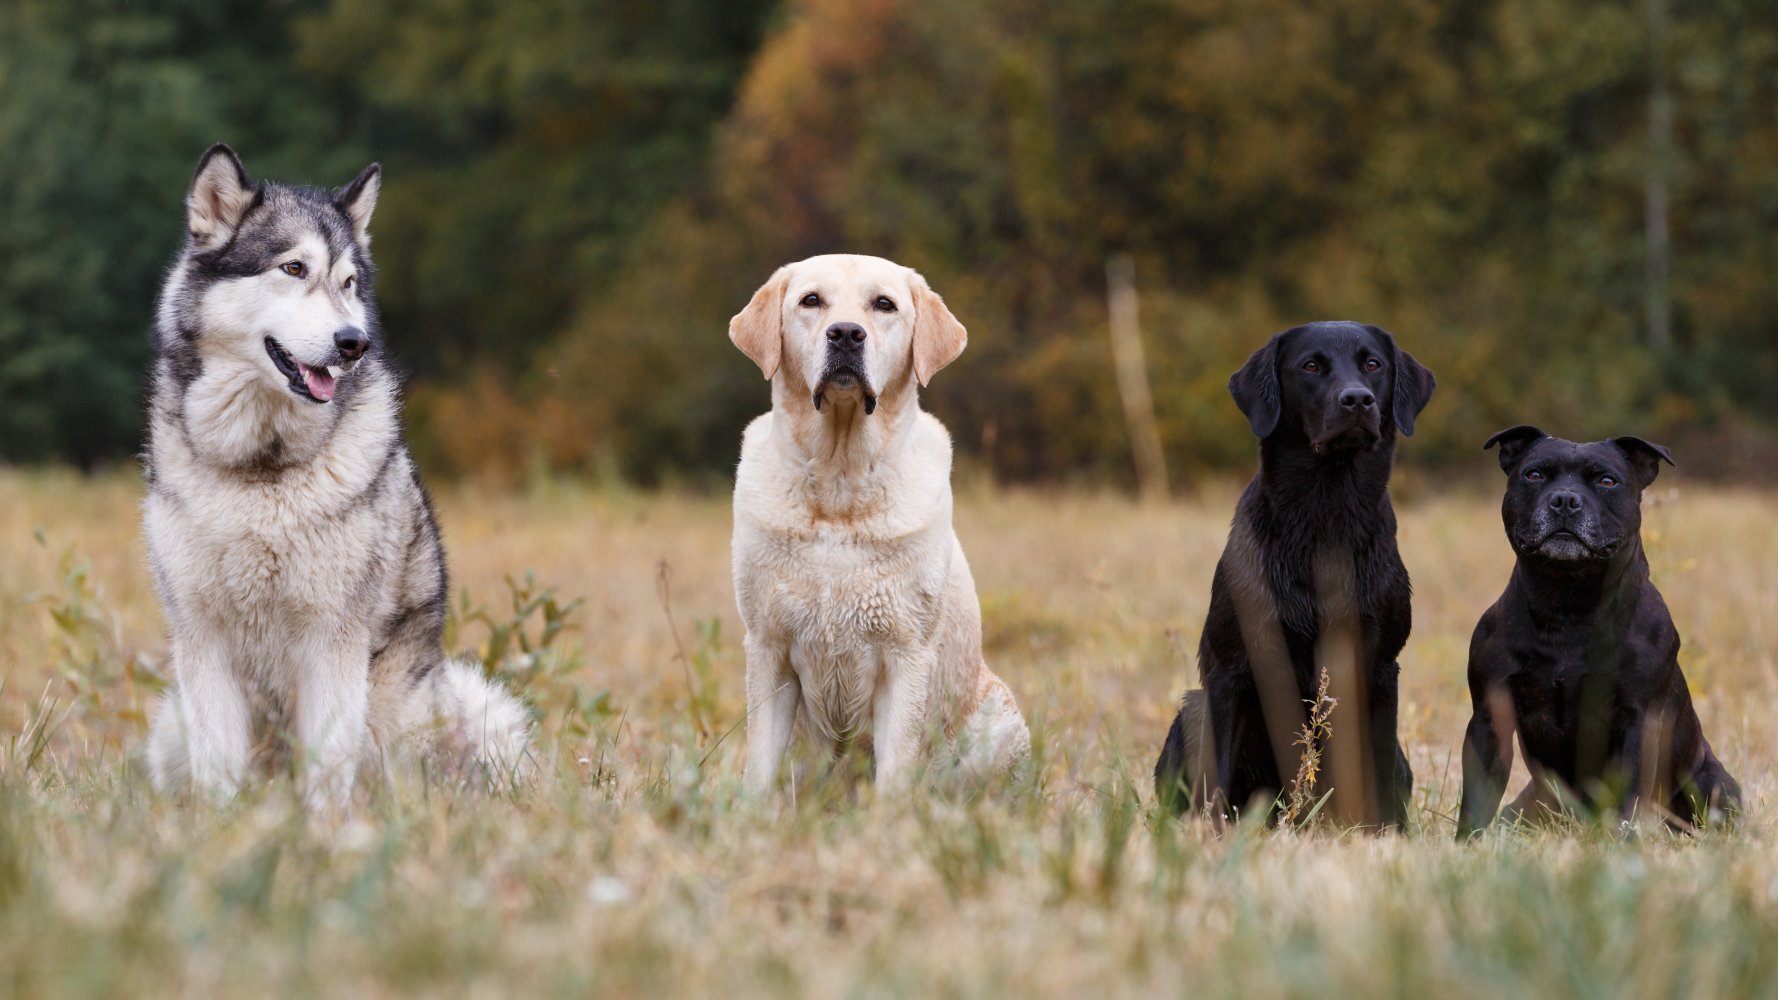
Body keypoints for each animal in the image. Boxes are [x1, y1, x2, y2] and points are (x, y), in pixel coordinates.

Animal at [142, 145, 529, 800]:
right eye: (294, 268)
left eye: (348, 283)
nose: (354, 342)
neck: (262, 467)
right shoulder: (202, 640)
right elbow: (219, 768)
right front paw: (223, 824)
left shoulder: (331, 639)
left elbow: (327, 767)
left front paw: (326, 826)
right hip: (172, 724)